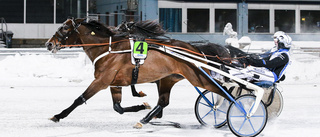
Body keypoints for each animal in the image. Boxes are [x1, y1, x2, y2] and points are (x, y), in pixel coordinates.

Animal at [46, 18, 234, 127]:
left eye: (64, 28)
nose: (49, 44)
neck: (108, 49)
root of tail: (195, 49)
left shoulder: (101, 81)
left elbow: (80, 99)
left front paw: (58, 115)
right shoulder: (115, 83)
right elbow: (118, 108)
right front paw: (141, 105)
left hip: (197, 77)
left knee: (221, 91)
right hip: (168, 79)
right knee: (163, 101)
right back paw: (145, 118)